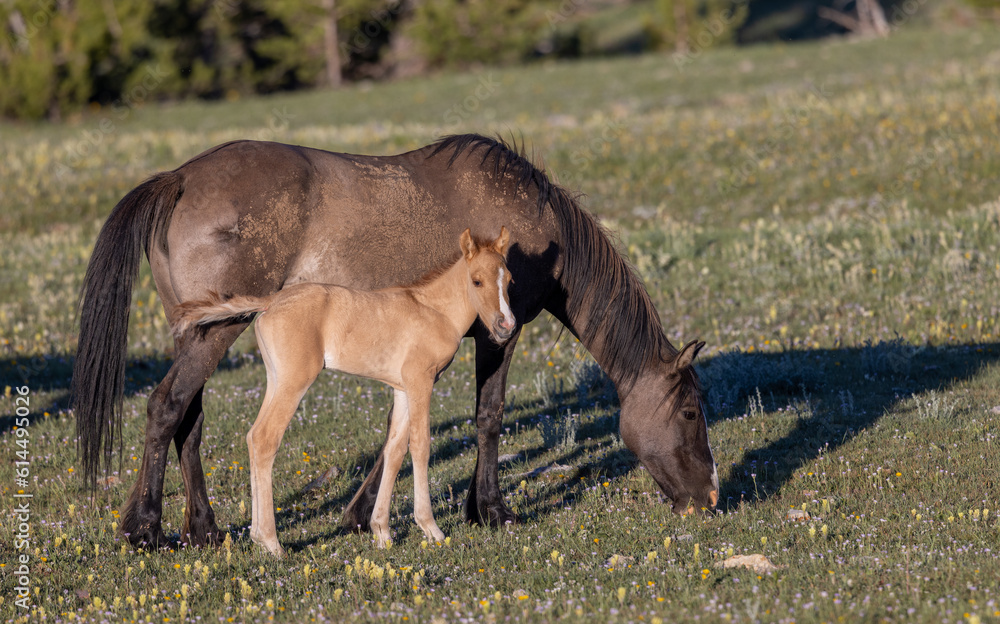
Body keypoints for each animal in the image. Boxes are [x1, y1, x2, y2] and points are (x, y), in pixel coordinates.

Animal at [172, 228, 513, 556]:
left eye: (509, 280)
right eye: (477, 280)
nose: (506, 326)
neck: (434, 310)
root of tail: (270, 302)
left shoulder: (402, 388)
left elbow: (394, 450)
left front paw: (382, 532)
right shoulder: (421, 382)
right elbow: (420, 446)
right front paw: (430, 528)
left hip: (276, 380)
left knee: (254, 437)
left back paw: (258, 537)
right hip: (295, 382)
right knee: (266, 438)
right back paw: (272, 543)